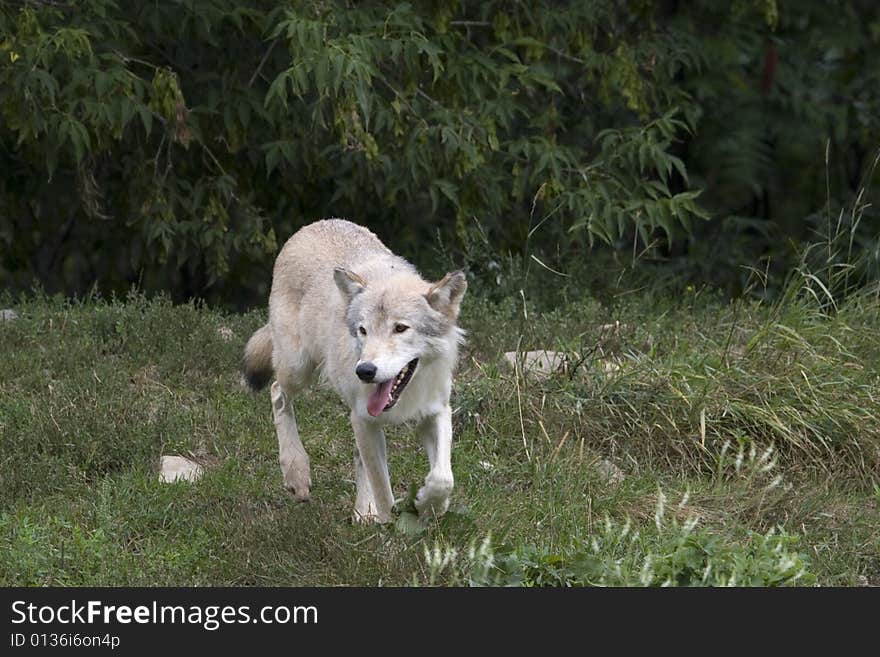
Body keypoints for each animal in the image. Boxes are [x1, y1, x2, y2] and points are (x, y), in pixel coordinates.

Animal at [241, 219, 468, 524]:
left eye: (400, 328)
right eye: (363, 330)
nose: (365, 371)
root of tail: (313, 225)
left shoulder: (436, 411)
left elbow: (443, 478)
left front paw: (430, 506)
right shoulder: (363, 418)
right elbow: (383, 491)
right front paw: (390, 525)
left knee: (360, 458)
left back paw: (363, 510)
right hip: (298, 368)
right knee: (278, 392)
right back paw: (297, 472)